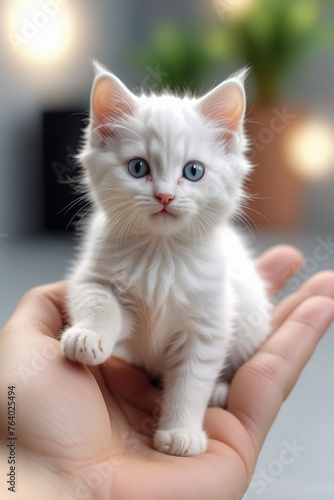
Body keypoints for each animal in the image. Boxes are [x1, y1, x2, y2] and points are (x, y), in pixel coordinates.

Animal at [61, 62, 272, 458]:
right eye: (138, 167)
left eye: (193, 171)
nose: (164, 196)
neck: (161, 254)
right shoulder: (96, 278)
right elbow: (101, 304)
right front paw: (88, 337)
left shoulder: (207, 324)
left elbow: (191, 384)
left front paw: (181, 433)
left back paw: (221, 390)